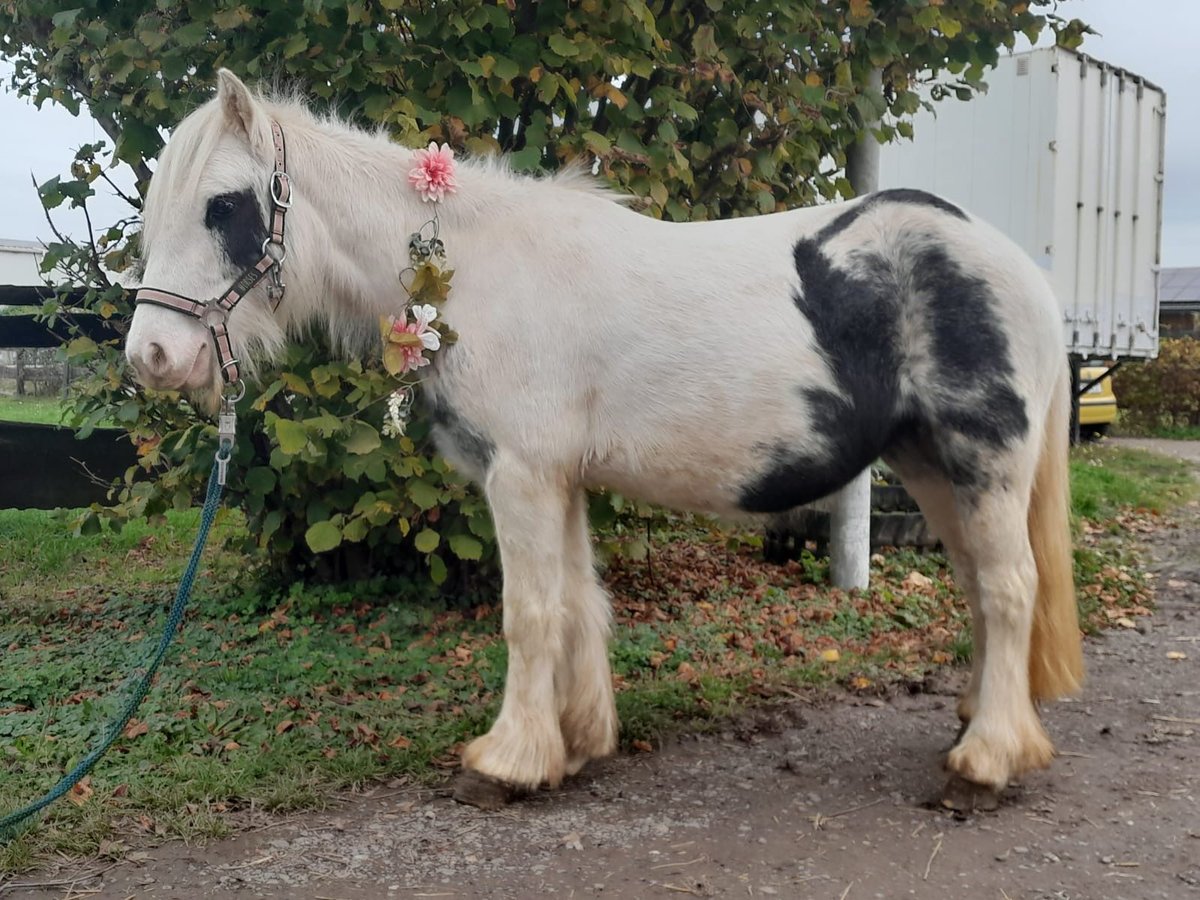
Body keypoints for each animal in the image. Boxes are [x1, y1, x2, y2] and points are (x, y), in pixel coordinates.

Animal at [126, 72, 1084, 811]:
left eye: (223, 206)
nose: (152, 357)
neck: (471, 270)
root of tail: (1019, 267)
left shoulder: (521, 476)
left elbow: (528, 612)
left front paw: (506, 762)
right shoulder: (560, 479)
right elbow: (579, 603)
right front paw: (577, 742)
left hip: (983, 463)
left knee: (1010, 590)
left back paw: (985, 762)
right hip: (931, 468)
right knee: (979, 587)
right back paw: (976, 721)